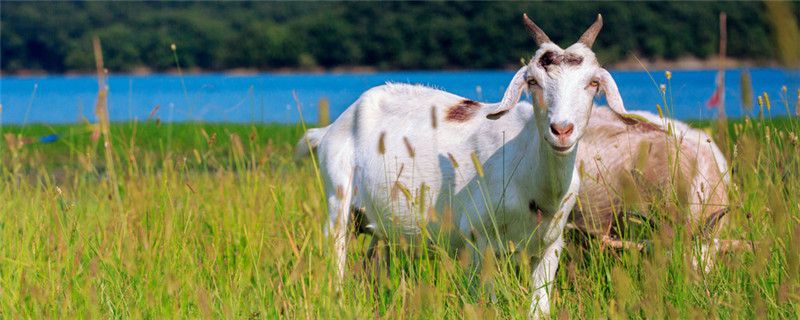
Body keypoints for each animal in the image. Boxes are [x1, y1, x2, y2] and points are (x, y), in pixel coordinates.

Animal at [294, 14, 636, 316]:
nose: (561, 130)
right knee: (336, 257)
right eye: (533, 81)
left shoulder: (551, 245)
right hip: (337, 201)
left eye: (593, 82)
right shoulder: (477, 239)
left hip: (380, 227)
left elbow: (540, 308)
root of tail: (331, 128)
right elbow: (487, 300)